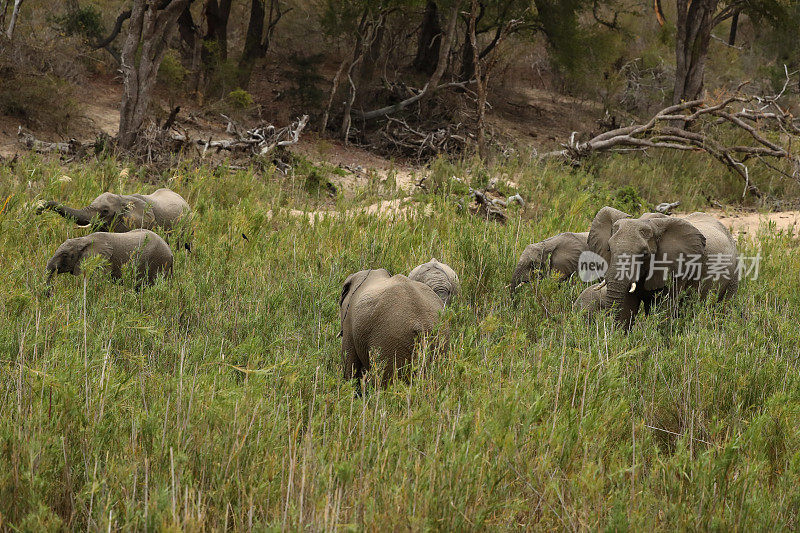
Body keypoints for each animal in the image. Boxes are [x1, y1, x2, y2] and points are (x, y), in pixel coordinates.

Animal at [45, 227, 173, 288]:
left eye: (65, 255)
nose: (49, 294)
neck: (84, 239)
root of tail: (171, 253)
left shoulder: (104, 261)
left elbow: (98, 282)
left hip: (160, 261)